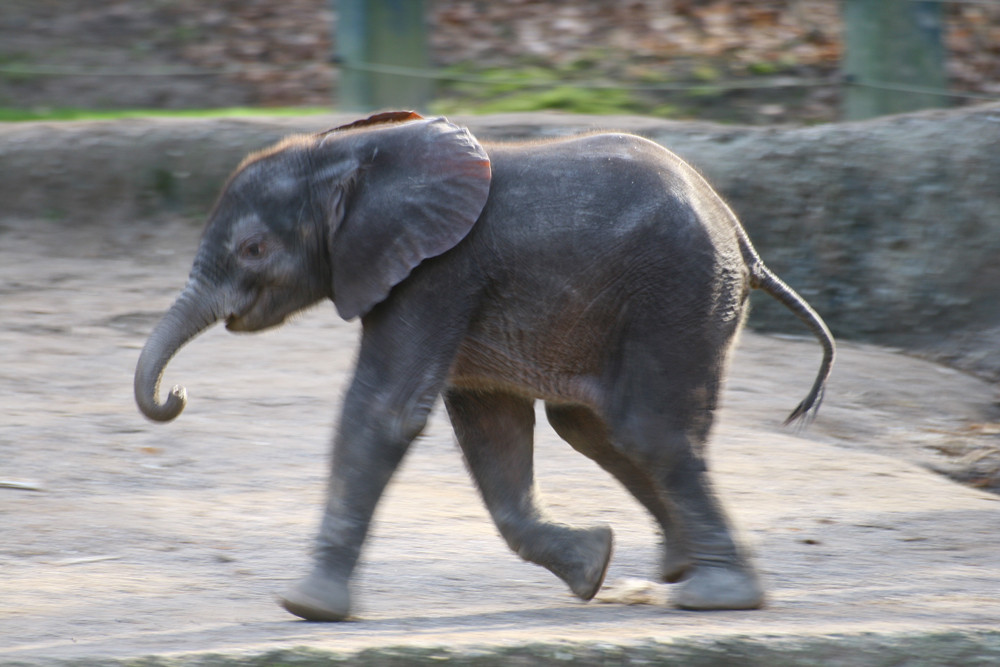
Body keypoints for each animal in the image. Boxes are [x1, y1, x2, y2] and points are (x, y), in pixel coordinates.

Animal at [135, 111, 836, 620]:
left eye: (253, 249)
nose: (177, 394)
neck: (349, 151)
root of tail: (743, 241)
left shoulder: (437, 272)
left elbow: (385, 411)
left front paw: (306, 608)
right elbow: (490, 429)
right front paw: (592, 565)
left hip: (679, 293)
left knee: (648, 430)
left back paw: (717, 596)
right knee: (595, 428)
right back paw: (680, 570)